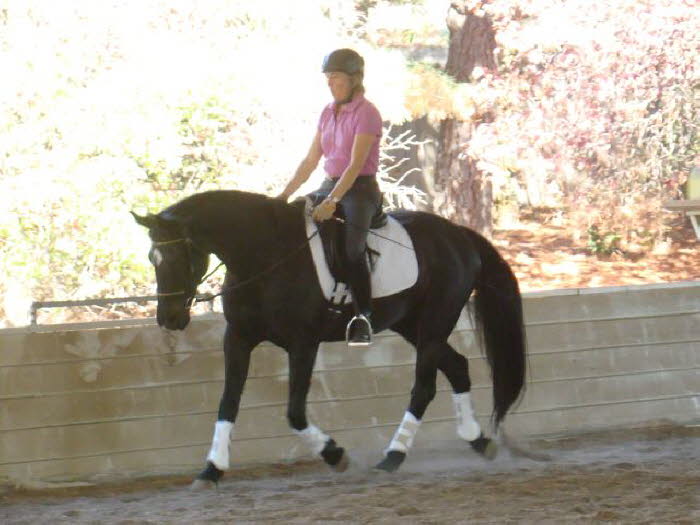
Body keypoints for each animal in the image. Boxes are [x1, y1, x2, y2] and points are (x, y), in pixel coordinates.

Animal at [131, 188, 524, 488]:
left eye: (179, 256)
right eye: (152, 258)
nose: (168, 318)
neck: (263, 255)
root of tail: (458, 234)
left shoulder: (303, 344)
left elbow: (294, 412)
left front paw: (336, 455)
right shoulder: (238, 338)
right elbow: (227, 404)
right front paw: (211, 470)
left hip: (432, 324)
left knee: (424, 388)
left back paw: (392, 457)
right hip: (412, 325)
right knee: (457, 367)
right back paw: (478, 441)